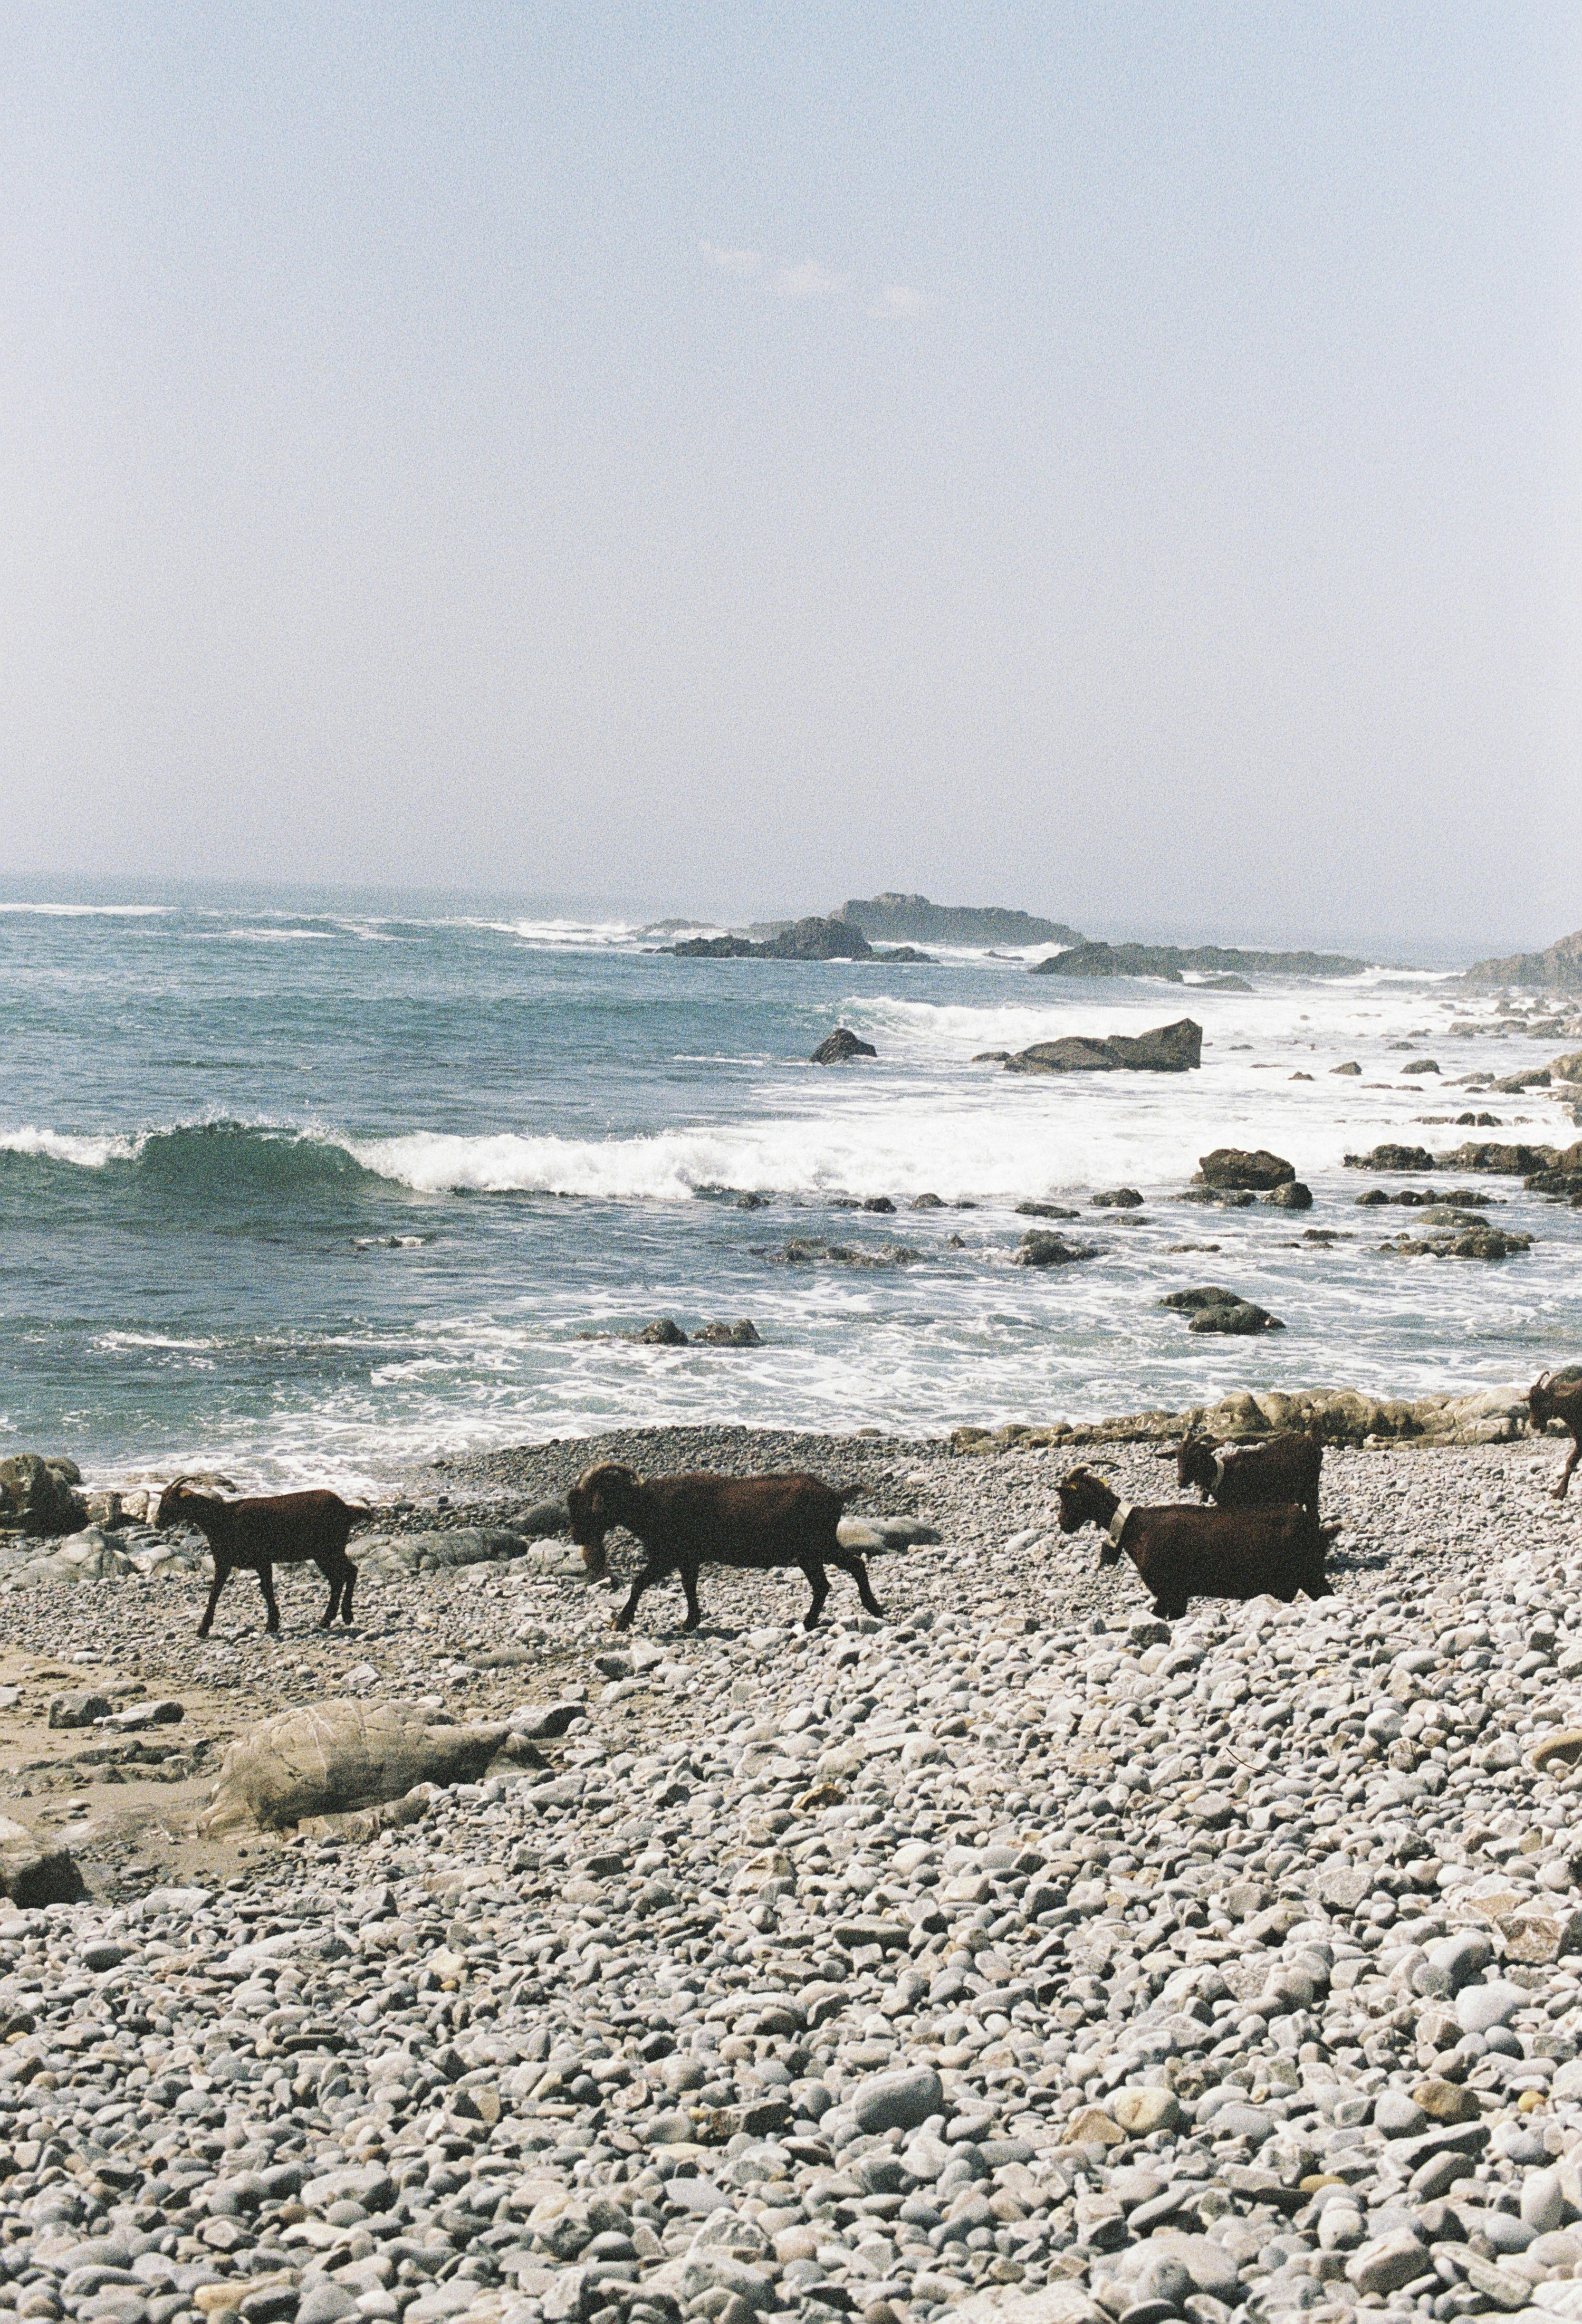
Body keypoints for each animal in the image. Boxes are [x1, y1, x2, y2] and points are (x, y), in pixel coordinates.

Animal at [154, 1479, 360, 1636]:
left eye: (171, 1502)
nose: (157, 1522)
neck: (222, 1519)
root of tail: (346, 1509)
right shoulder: (225, 1562)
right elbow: (217, 1592)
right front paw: (203, 1629)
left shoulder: (260, 1560)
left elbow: (265, 1590)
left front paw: (271, 1625)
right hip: (324, 1553)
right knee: (340, 1578)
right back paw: (328, 1619)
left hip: (330, 1549)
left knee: (349, 1572)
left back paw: (345, 1615)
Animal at [566, 1463, 880, 1632]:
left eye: (585, 1502)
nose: (576, 1536)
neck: (648, 1504)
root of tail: (835, 1496)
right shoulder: (688, 1558)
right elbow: (688, 1586)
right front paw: (690, 1621)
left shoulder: (669, 1555)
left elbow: (640, 1582)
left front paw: (621, 1621)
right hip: (811, 1552)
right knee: (827, 1583)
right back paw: (818, 1619)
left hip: (817, 1546)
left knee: (850, 1567)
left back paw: (867, 1609)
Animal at [1055, 1465, 1339, 1619]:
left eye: (1066, 1498)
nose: (1062, 1523)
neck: (1134, 1527)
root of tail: (1315, 1530)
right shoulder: (1178, 1594)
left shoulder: (1170, 1590)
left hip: (1308, 1573)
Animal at [1162, 1427, 1324, 1519]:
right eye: (1178, 1457)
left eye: (1197, 1459)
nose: (1181, 1481)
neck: (1223, 1474)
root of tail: (1314, 1445)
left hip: (1310, 1488)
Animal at [1528, 1368, 1582, 1500]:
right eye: (1530, 1402)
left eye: (1544, 1403)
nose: (1533, 1423)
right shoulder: (1579, 1440)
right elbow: (1570, 1463)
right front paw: (1559, 1493)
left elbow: (1570, 1463)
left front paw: (1559, 1493)